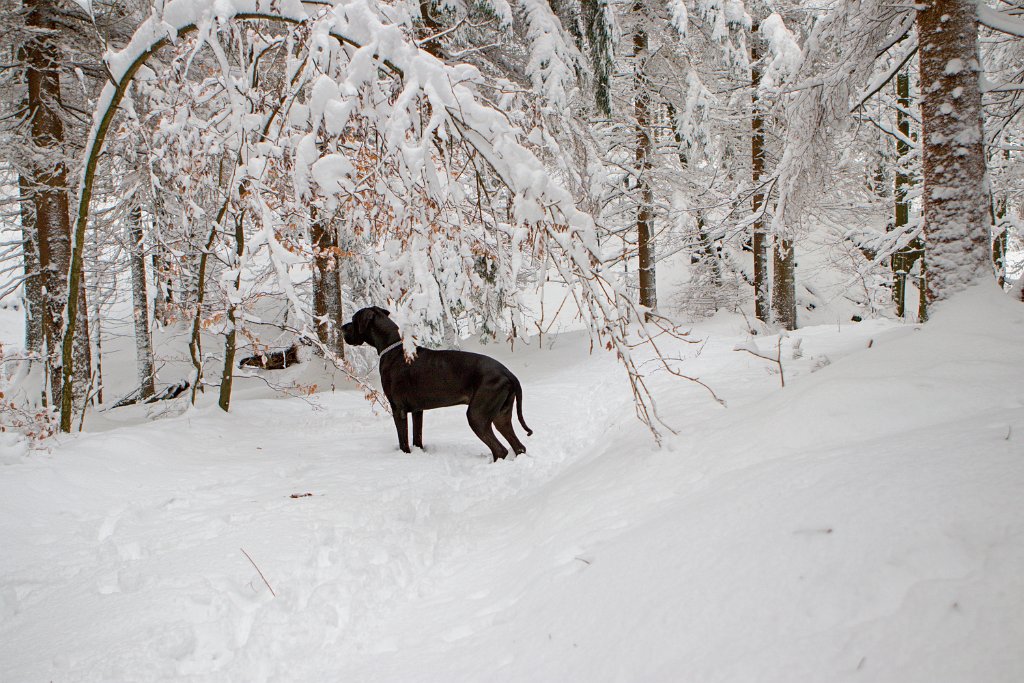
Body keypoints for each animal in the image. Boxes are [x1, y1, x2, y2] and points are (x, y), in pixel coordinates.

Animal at [344, 309, 536, 458]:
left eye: (353, 320)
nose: (341, 327)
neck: (393, 348)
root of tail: (509, 373)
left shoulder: (398, 409)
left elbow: (403, 441)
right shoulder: (417, 410)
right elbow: (417, 437)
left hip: (477, 415)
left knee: (500, 450)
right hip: (500, 416)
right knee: (519, 447)